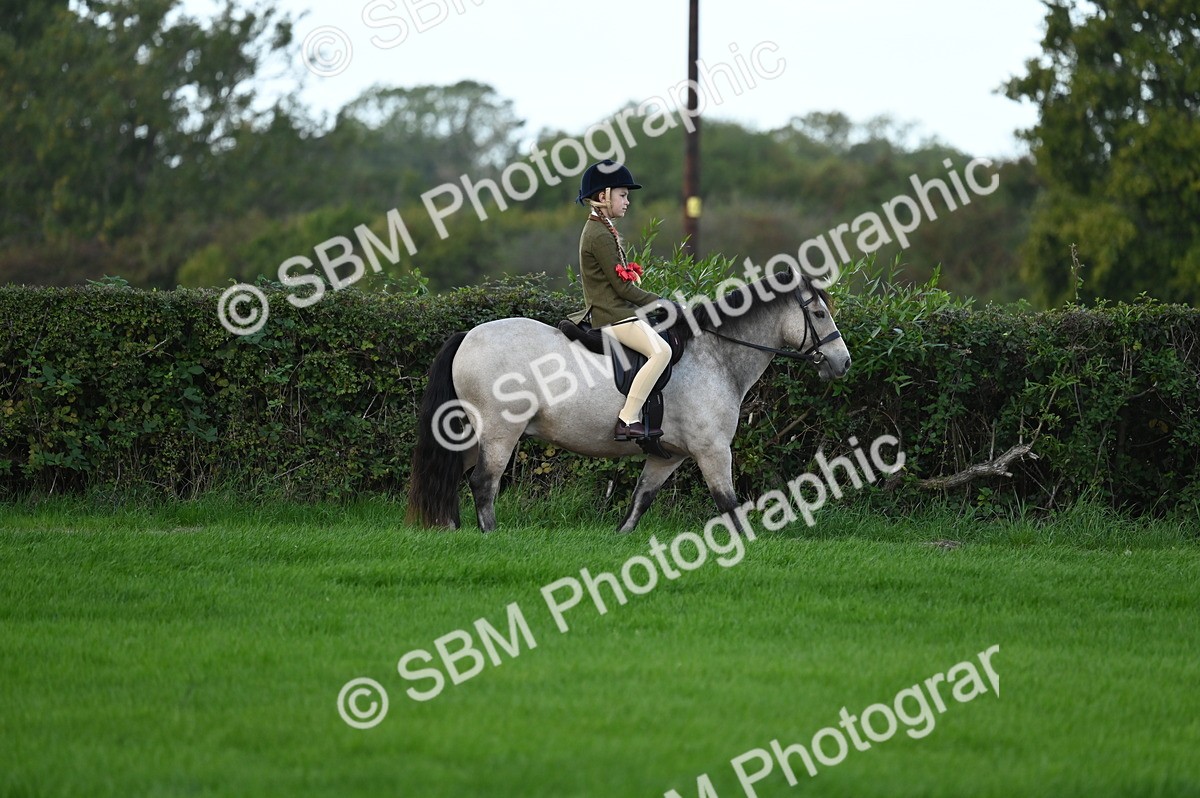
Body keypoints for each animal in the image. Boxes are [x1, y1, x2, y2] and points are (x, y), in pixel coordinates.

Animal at [406, 269, 851, 533]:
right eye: (819, 313)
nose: (842, 361)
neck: (717, 355)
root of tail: (468, 335)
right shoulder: (712, 450)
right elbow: (729, 503)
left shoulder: (669, 455)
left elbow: (641, 500)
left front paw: (621, 538)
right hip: (500, 432)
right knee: (483, 482)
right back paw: (491, 536)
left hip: (472, 434)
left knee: (454, 475)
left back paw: (452, 529)